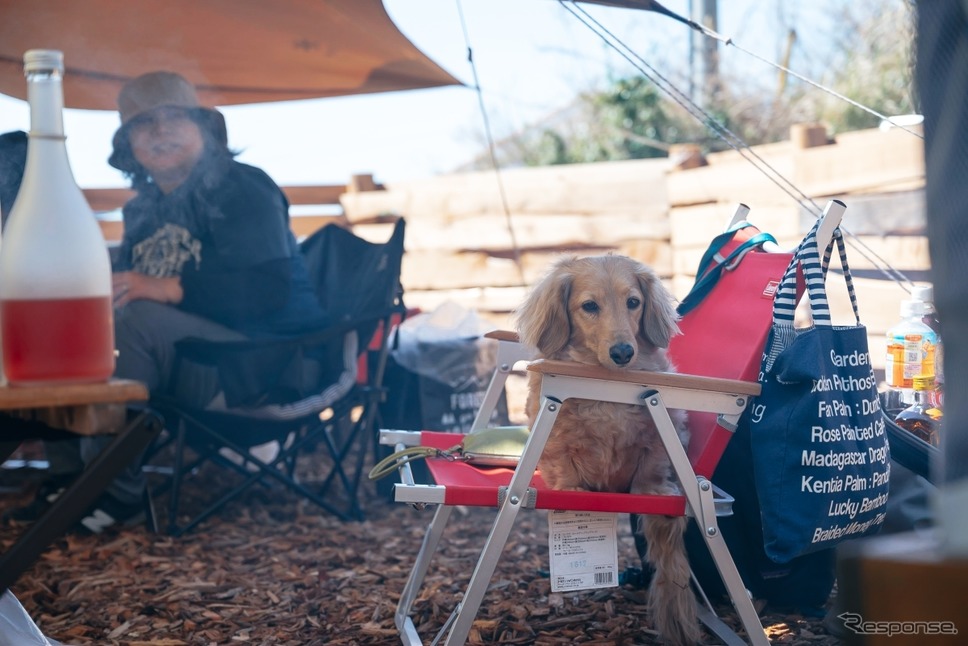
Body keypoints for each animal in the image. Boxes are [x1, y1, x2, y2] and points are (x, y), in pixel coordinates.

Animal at [520, 254, 700, 646]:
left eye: (633, 302)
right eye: (589, 306)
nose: (622, 352)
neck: (605, 384)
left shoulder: (663, 431)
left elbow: (651, 467)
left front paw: (654, 491)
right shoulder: (556, 442)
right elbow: (563, 464)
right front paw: (570, 490)